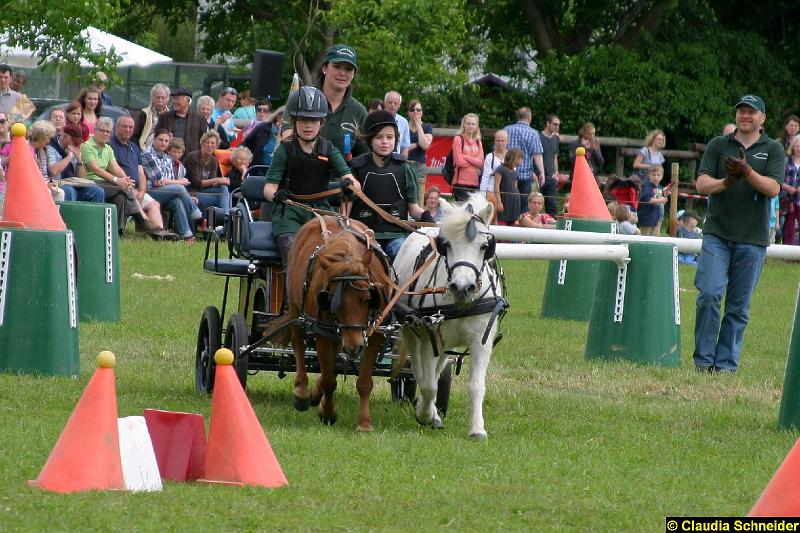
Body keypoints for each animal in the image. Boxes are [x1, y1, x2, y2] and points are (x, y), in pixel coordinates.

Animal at [282, 214, 390, 430]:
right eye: (333, 302)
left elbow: (364, 381)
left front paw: (364, 423)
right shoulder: (321, 332)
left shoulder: (375, 333)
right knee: (298, 343)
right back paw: (302, 392)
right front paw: (328, 412)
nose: (355, 347)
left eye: (367, 299)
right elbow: (329, 380)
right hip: (297, 310)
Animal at [392, 193, 506, 438]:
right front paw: (425, 414)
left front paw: (477, 429)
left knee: (437, 369)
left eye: (485, 246)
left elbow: (476, 385)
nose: (463, 288)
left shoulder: (481, 339)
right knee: (419, 369)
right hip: (411, 331)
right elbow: (427, 384)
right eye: (447, 245)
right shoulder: (430, 336)